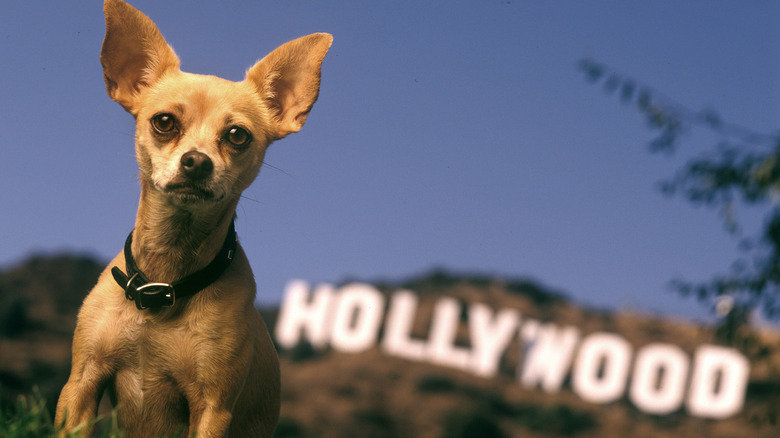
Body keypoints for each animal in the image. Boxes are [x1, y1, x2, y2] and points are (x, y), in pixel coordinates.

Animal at [54, 1, 330, 436]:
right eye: (164, 122)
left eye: (237, 135)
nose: (197, 161)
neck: (166, 279)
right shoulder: (82, 382)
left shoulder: (213, 407)